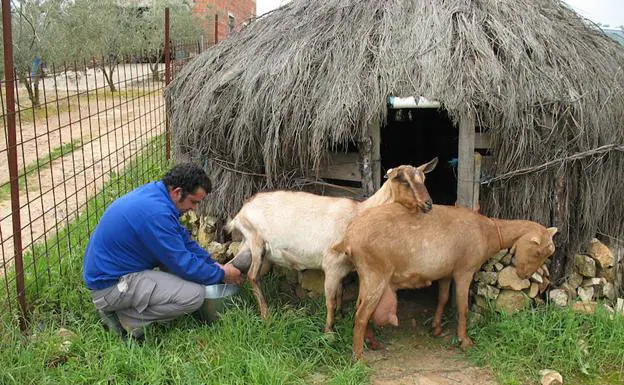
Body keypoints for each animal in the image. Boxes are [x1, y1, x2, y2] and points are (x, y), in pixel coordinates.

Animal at [334, 202, 560, 358]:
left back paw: (371, 342)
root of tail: (349, 238)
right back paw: (359, 358)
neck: (487, 232)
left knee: (359, 307)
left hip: (367, 275)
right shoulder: (464, 271)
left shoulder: (445, 274)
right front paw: (464, 341)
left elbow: (442, 299)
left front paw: (436, 328)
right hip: (376, 273)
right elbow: (463, 307)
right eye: (538, 251)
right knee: (362, 314)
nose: (524, 275)